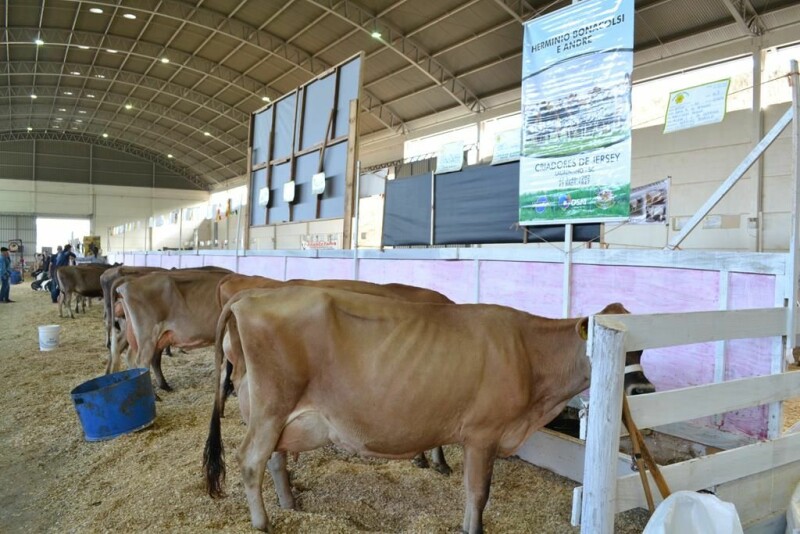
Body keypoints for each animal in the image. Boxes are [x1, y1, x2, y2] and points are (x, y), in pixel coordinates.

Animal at [205, 292, 636, 532]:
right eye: (625, 350)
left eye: (640, 350)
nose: (636, 388)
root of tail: (249, 299)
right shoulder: (484, 433)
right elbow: (478, 493)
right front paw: (472, 529)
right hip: (271, 407)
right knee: (250, 461)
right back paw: (263, 524)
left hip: (276, 413)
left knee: (274, 458)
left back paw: (290, 504)